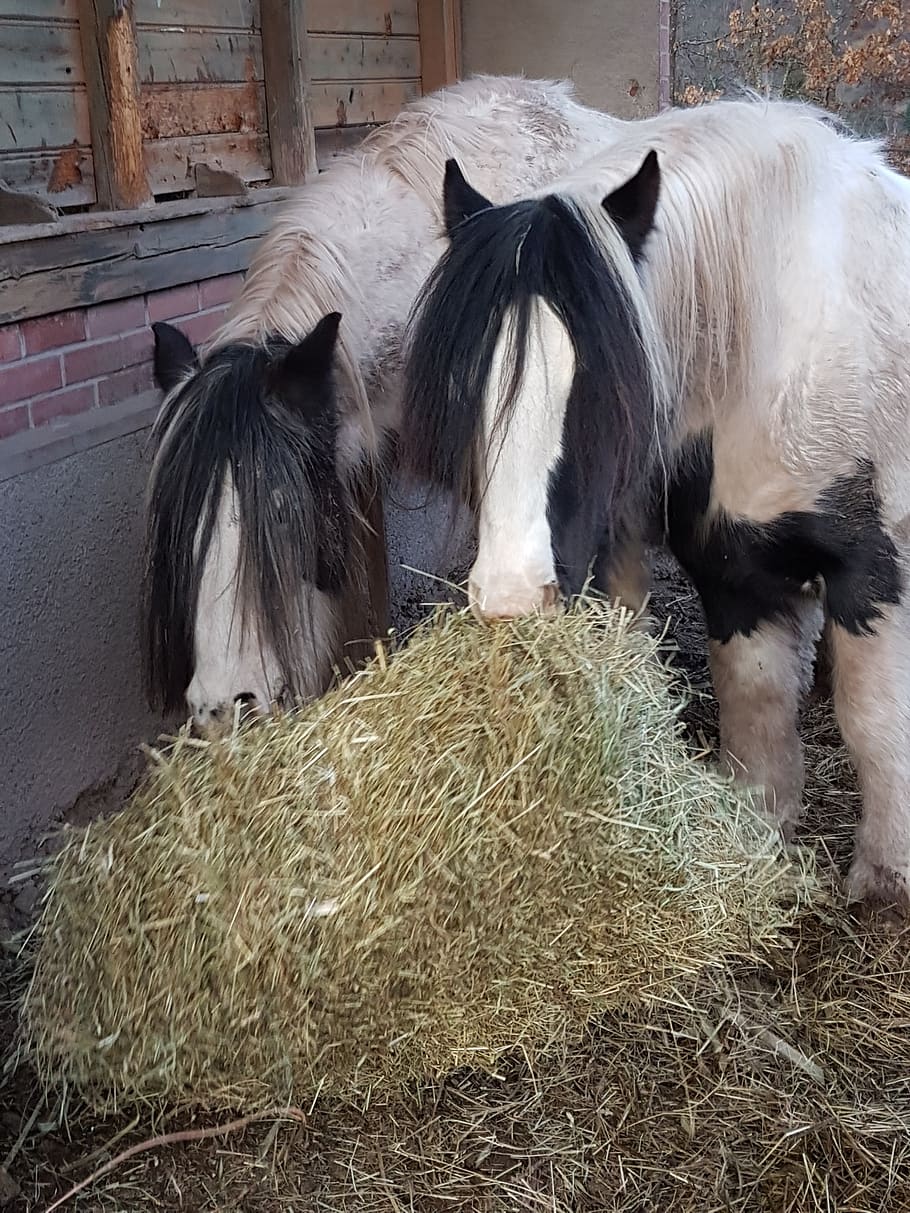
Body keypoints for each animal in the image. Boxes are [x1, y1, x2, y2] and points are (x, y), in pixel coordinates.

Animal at [402, 97, 910, 912]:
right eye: (461, 386)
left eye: (612, 389)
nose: (511, 603)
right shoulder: (733, 567)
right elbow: (754, 704)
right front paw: (757, 837)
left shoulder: (874, 570)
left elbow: (875, 722)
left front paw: (886, 876)